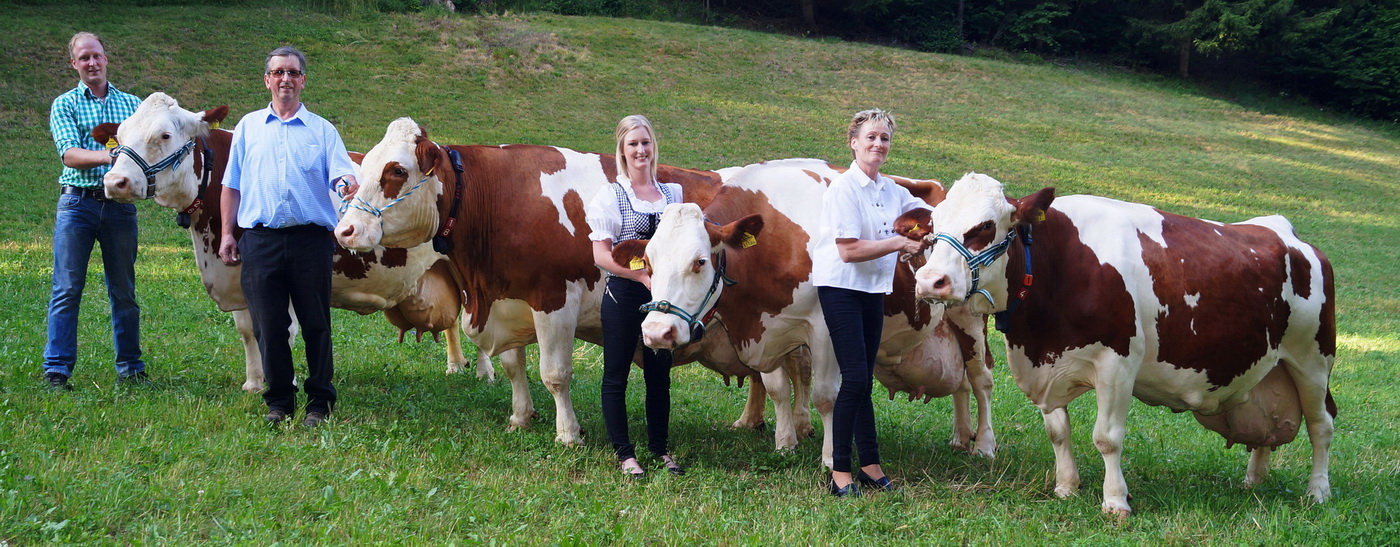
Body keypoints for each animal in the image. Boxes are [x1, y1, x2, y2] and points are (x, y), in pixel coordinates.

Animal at [97, 95, 481, 394]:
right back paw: (455, 364)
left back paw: (483, 372)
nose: (115, 182)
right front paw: (254, 383)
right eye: (119, 135)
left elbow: (282, 330)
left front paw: (285, 382)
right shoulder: (237, 275)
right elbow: (248, 331)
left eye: (163, 134)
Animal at [618, 159, 1002, 467]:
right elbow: (776, 387)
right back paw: (960, 436)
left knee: (980, 378)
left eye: (699, 262)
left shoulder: (823, 330)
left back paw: (983, 444)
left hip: (968, 316)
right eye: (648, 262)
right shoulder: (768, 327)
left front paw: (832, 458)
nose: (656, 332)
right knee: (962, 382)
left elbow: (826, 396)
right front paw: (785, 442)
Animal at [901, 173, 1338, 517]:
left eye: (985, 227)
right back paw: (1254, 480)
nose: (931, 281)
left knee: (1321, 425)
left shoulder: (1117, 364)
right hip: (1270, 366)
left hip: (1313, 360)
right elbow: (1058, 432)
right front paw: (1066, 486)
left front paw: (1115, 501)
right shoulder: (1047, 368)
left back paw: (1318, 491)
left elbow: (1106, 437)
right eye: (934, 224)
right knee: (1268, 433)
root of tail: (1286, 233)